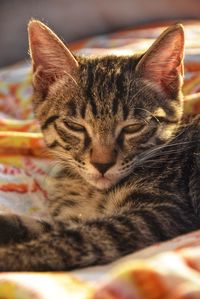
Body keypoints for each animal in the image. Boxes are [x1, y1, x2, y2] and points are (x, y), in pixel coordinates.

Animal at [0, 19, 199, 274]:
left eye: (133, 128)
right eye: (74, 126)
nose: (102, 164)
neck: (90, 191)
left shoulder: (163, 213)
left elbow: (74, 240)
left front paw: (9, 257)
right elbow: (42, 226)